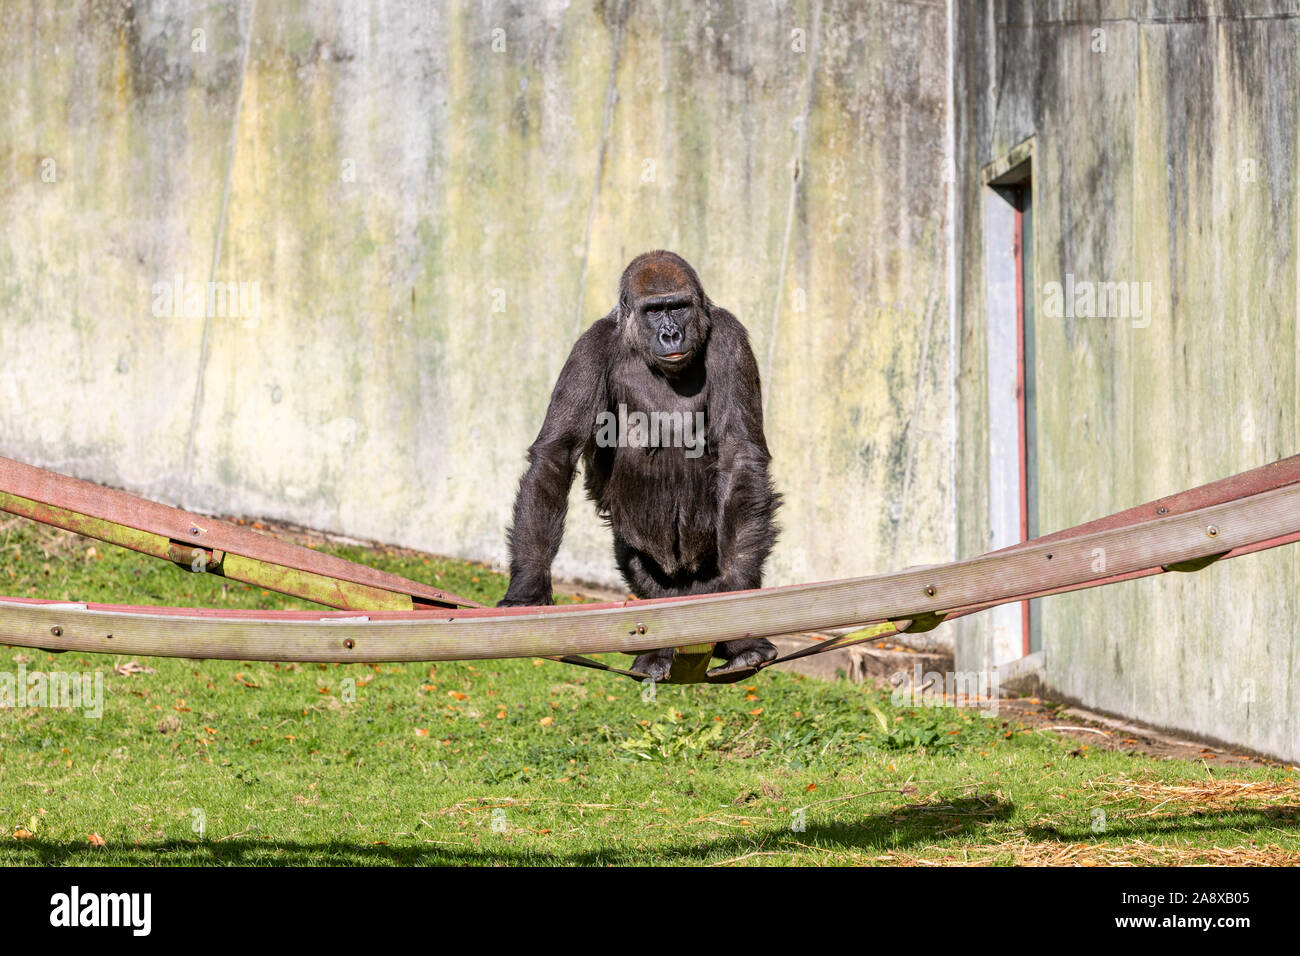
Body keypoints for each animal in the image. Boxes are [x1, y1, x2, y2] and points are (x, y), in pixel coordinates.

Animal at [498, 250, 781, 680]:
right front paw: (528, 587)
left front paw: (740, 619)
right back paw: (658, 651)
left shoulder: (730, 339)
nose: (671, 335)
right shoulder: (590, 349)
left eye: (677, 307)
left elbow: (739, 454)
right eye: (654, 311)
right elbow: (557, 454)